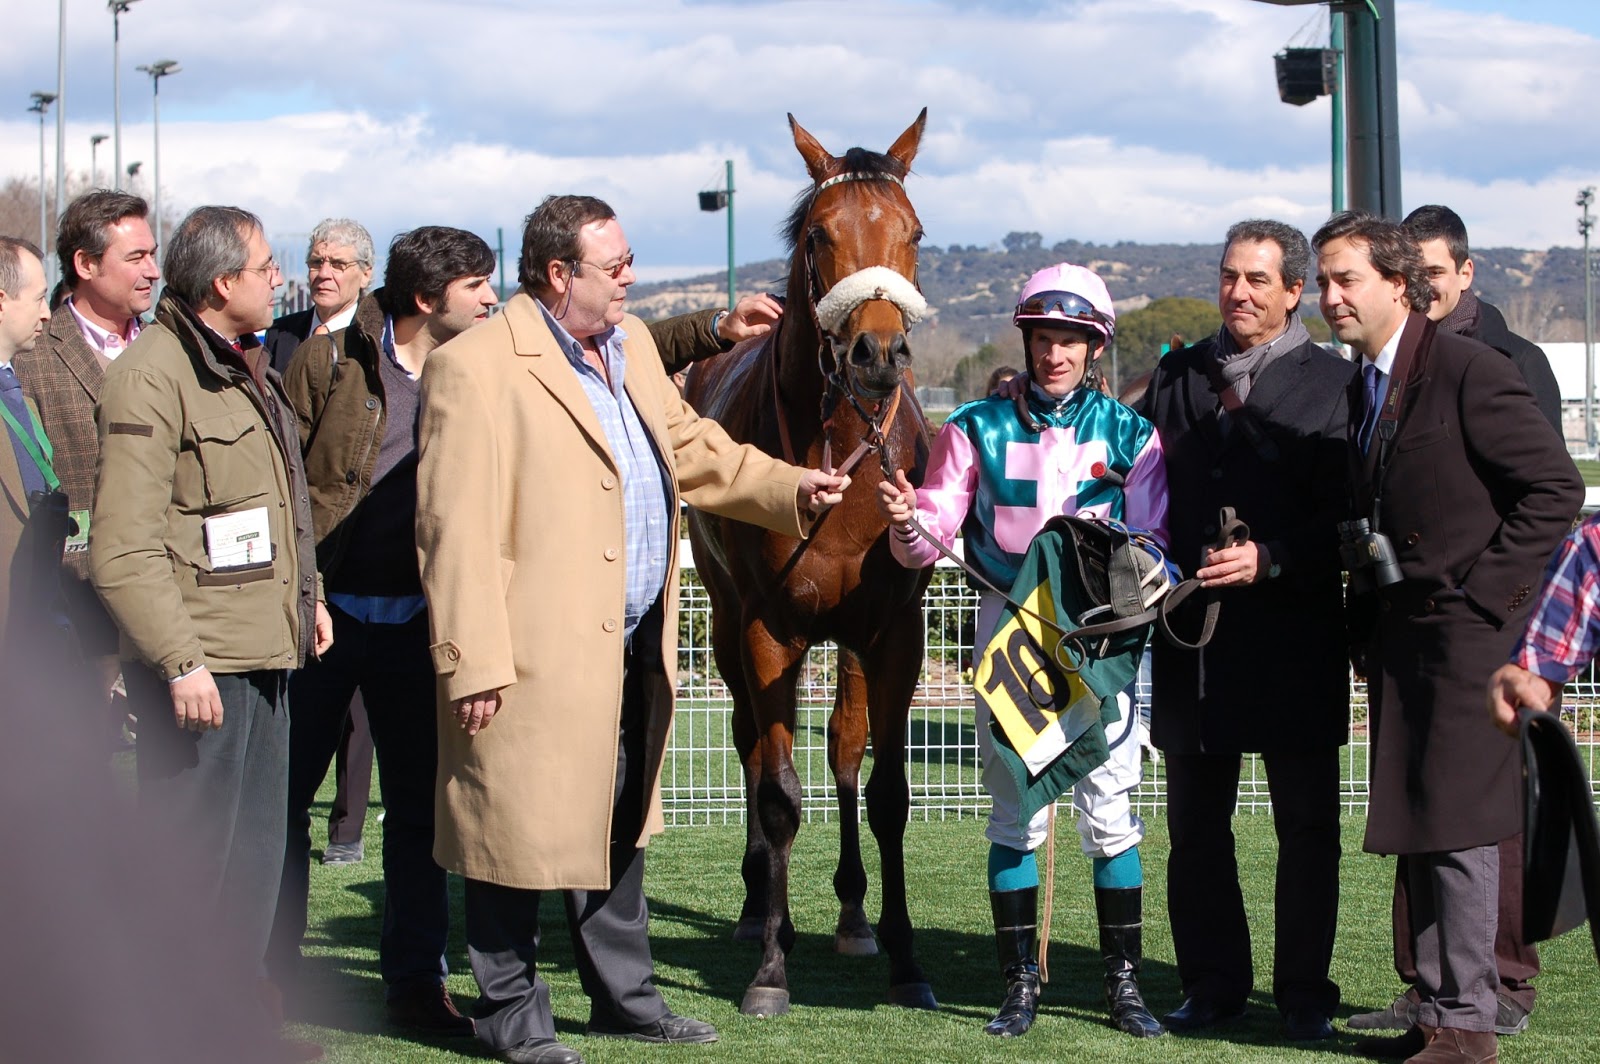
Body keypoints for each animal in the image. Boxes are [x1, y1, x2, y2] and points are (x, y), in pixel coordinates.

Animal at [683, 110, 937, 1018]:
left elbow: (887, 789)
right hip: (725, 621)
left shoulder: (895, 631)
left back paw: (854, 918)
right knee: (754, 746)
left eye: (913, 232)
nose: (876, 353)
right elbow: (778, 793)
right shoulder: (768, 626)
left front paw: (905, 959)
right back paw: (760, 906)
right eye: (821, 234)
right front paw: (769, 969)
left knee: (843, 749)